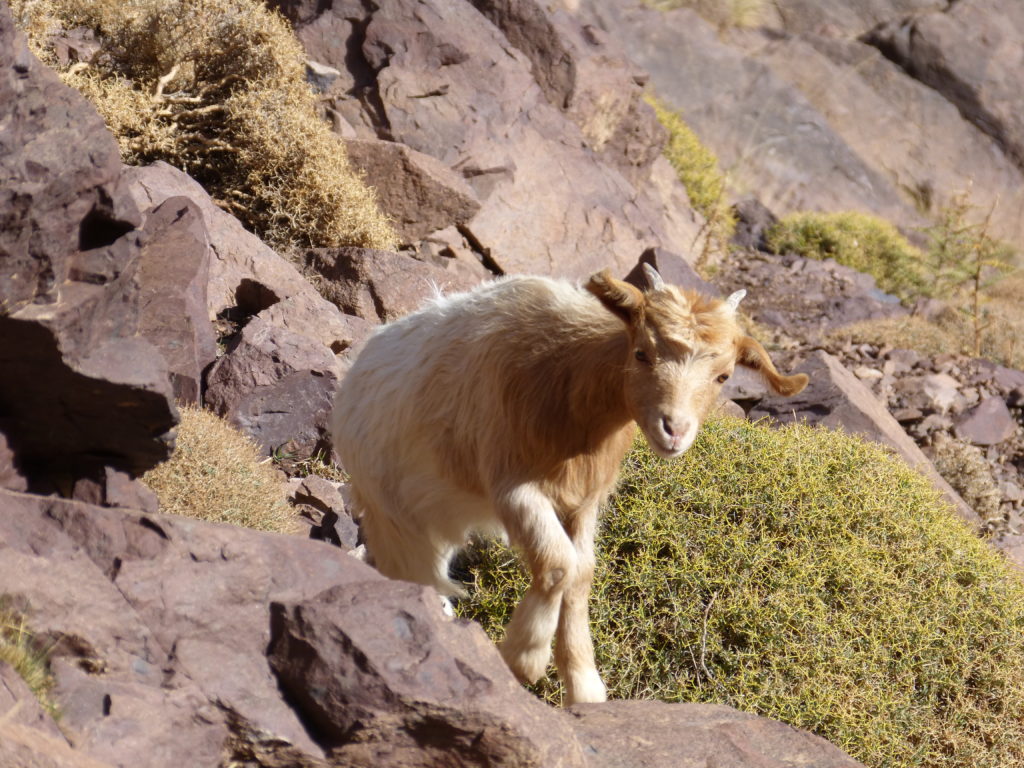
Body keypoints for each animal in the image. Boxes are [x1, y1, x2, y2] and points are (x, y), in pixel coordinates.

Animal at [329, 268, 806, 708]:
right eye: (641, 353)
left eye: (724, 376)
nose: (674, 430)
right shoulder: (511, 483)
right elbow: (559, 564)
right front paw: (522, 658)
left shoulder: (585, 498)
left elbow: (582, 573)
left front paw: (583, 684)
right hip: (391, 512)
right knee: (408, 569)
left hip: (439, 516)